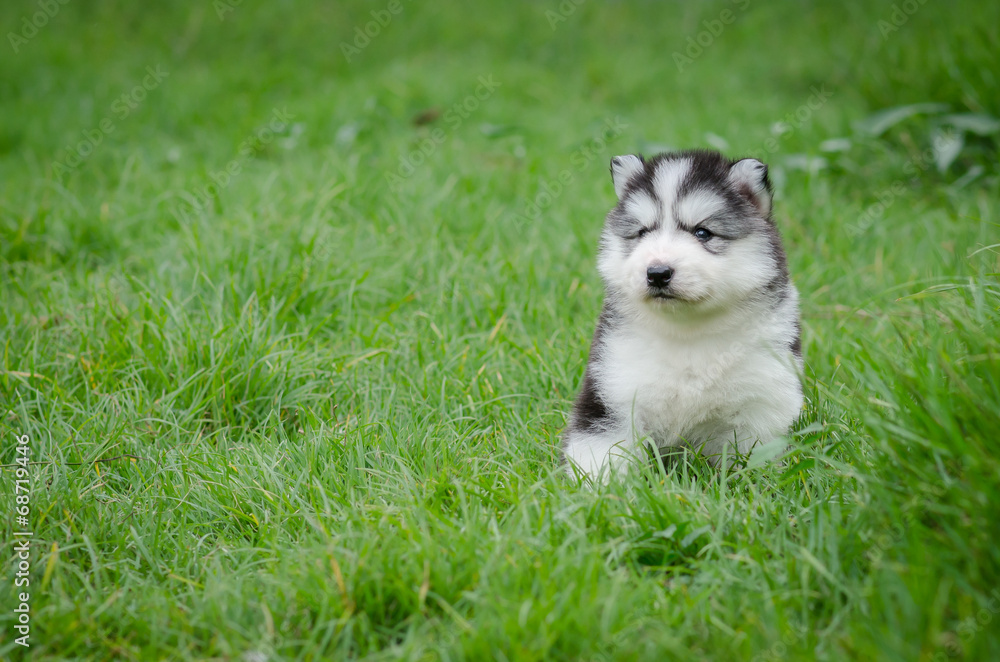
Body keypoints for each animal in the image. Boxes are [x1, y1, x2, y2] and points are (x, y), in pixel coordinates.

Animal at [564, 151, 804, 482]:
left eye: (702, 232)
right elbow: (602, 452)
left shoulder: (761, 400)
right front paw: (600, 490)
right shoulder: (612, 391)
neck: (687, 331)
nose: (657, 272)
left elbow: (755, 456)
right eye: (642, 232)